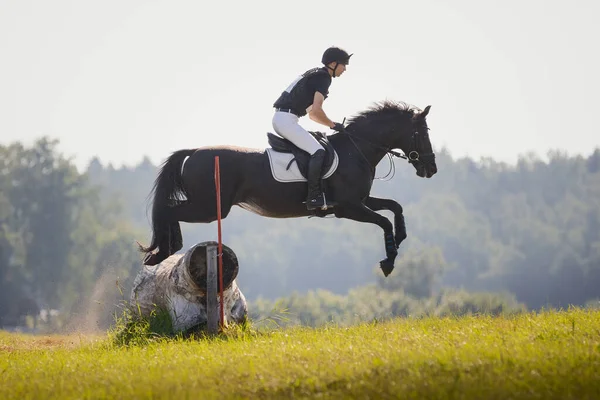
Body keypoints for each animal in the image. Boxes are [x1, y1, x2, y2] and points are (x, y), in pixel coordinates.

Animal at [137, 100, 436, 276]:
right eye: (421, 134)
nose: (431, 169)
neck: (356, 149)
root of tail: (194, 151)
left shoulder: (362, 200)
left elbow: (395, 207)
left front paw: (401, 237)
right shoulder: (349, 208)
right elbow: (384, 221)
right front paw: (389, 260)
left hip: (207, 206)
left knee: (169, 209)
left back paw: (165, 250)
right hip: (209, 208)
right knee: (169, 210)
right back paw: (165, 250)